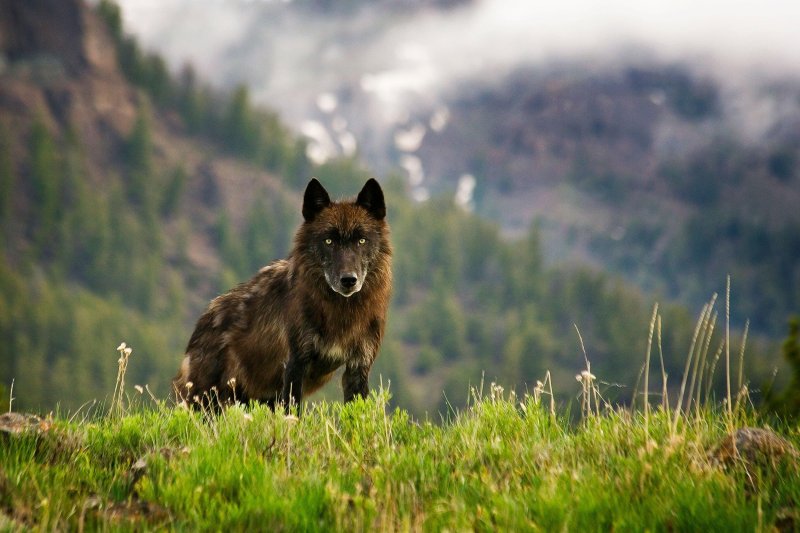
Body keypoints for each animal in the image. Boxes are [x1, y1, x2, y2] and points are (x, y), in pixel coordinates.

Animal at [173, 179, 392, 412]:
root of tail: (205, 316)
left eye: (361, 241)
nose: (349, 280)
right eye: (328, 241)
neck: (340, 313)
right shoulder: (296, 364)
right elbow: (293, 414)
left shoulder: (358, 367)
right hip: (209, 401)